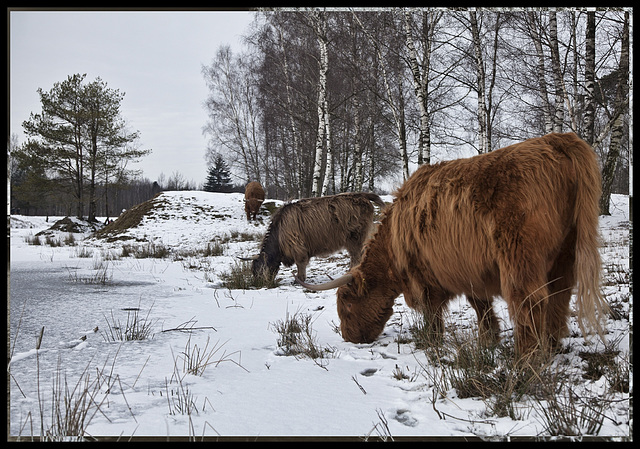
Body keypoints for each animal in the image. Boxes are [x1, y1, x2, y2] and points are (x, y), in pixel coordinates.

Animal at [245, 192, 384, 282]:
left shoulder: (297, 246)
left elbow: (300, 264)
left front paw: (299, 280)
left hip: (355, 237)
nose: (259, 284)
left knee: (356, 256)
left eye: (259, 270)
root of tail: (361, 195)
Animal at [300, 132, 608, 356]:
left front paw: (431, 342)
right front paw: (488, 341)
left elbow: (434, 313)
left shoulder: (426, 275)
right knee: (559, 296)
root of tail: (556, 139)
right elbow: (481, 307)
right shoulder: (470, 269)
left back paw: (525, 363)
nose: (349, 338)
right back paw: (551, 348)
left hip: (519, 255)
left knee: (529, 301)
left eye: (347, 308)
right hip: (566, 254)